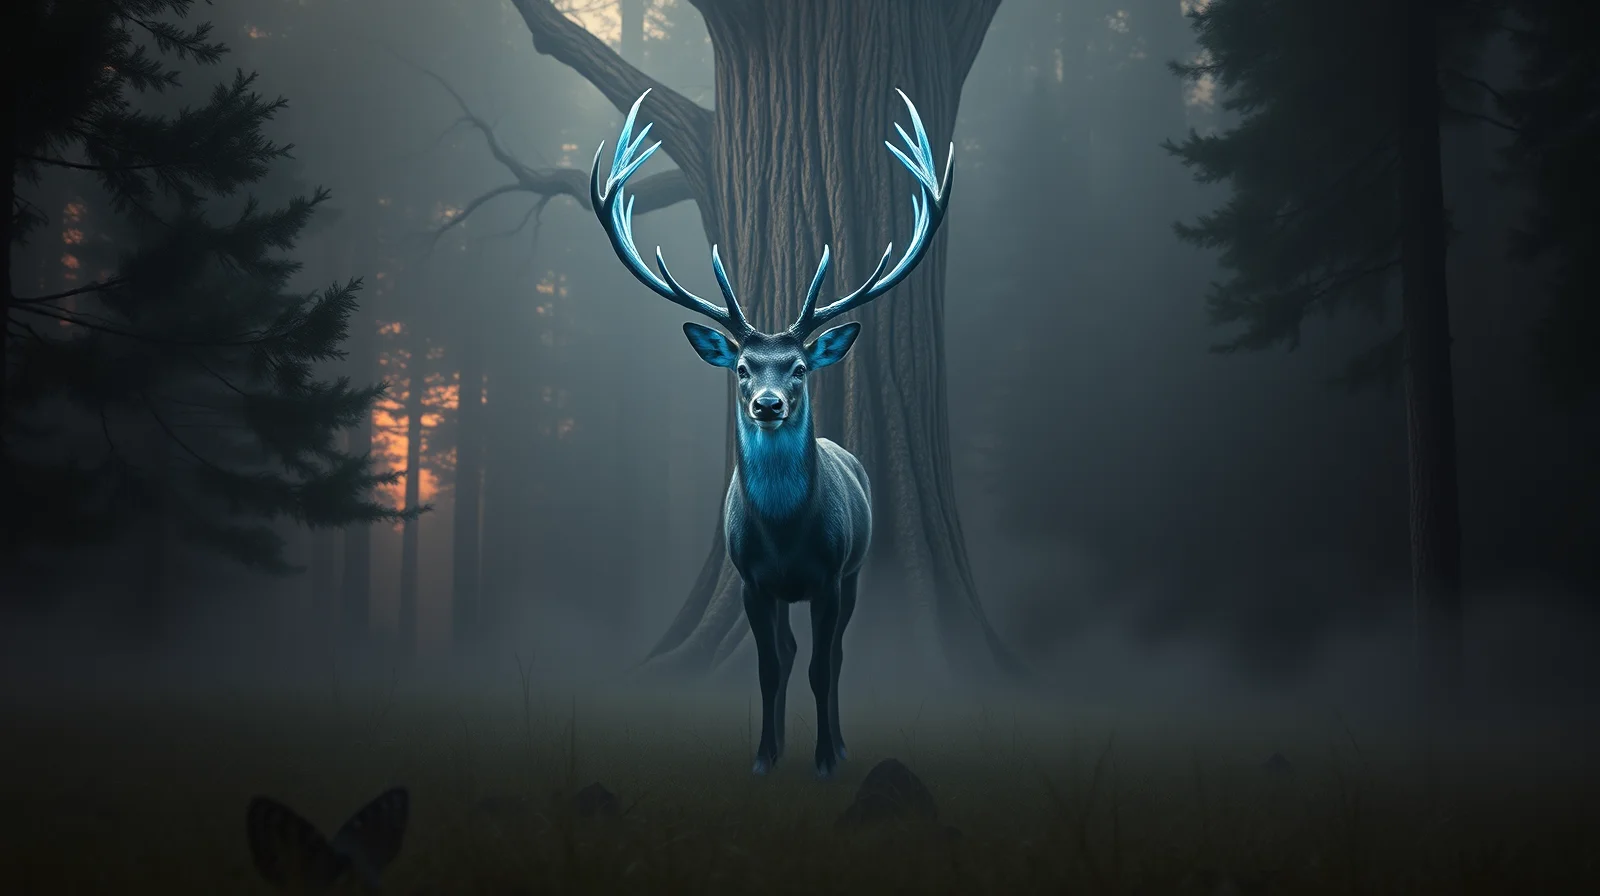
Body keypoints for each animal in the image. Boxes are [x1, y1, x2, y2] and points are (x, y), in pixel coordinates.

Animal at [588, 88, 953, 779]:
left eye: (800, 366)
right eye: (741, 366)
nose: (767, 403)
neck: (786, 537)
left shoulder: (833, 576)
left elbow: (821, 666)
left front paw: (828, 759)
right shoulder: (753, 581)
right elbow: (767, 667)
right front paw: (763, 758)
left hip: (857, 570)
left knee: (833, 659)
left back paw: (836, 743)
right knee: (783, 653)